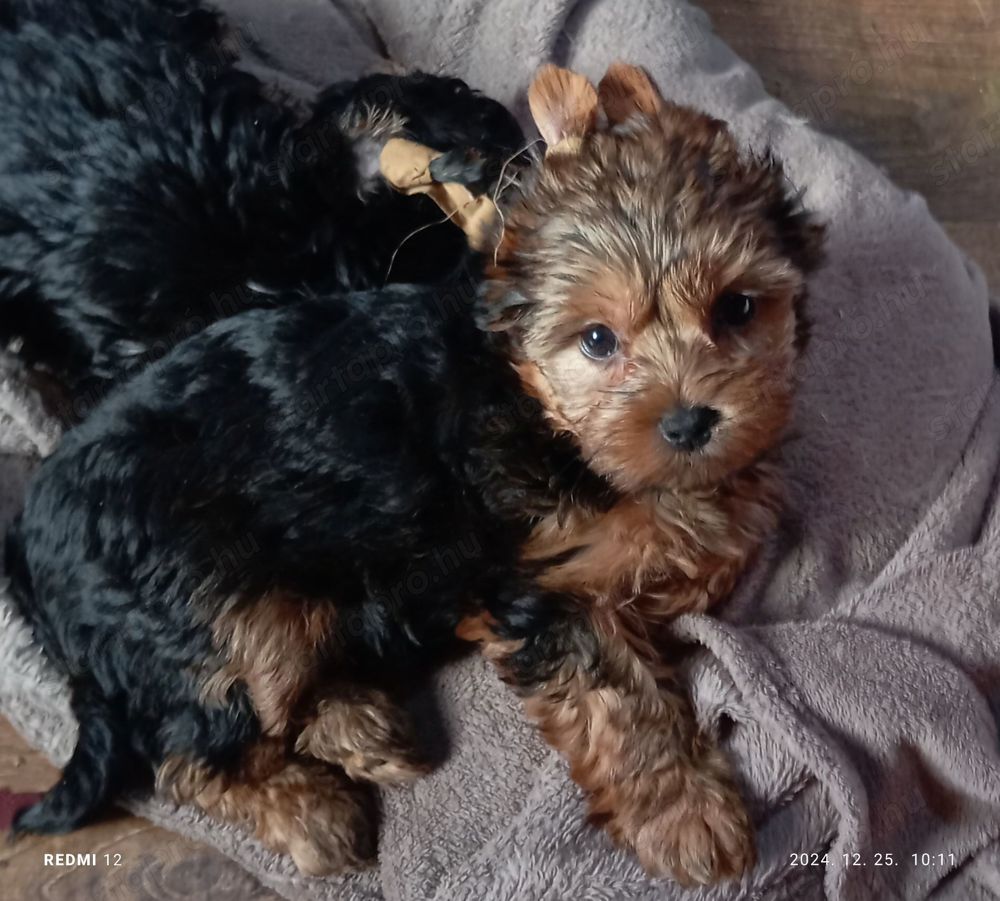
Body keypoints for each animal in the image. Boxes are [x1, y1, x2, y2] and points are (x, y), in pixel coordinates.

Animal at [5, 65, 820, 884]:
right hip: (206, 599)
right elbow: (615, 697)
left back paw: (364, 726)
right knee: (194, 747)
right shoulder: (544, 586)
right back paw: (314, 810)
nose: (688, 423)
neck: (544, 409)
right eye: (598, 340)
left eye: (738, 309)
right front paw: (685, 812)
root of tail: (31, 556)